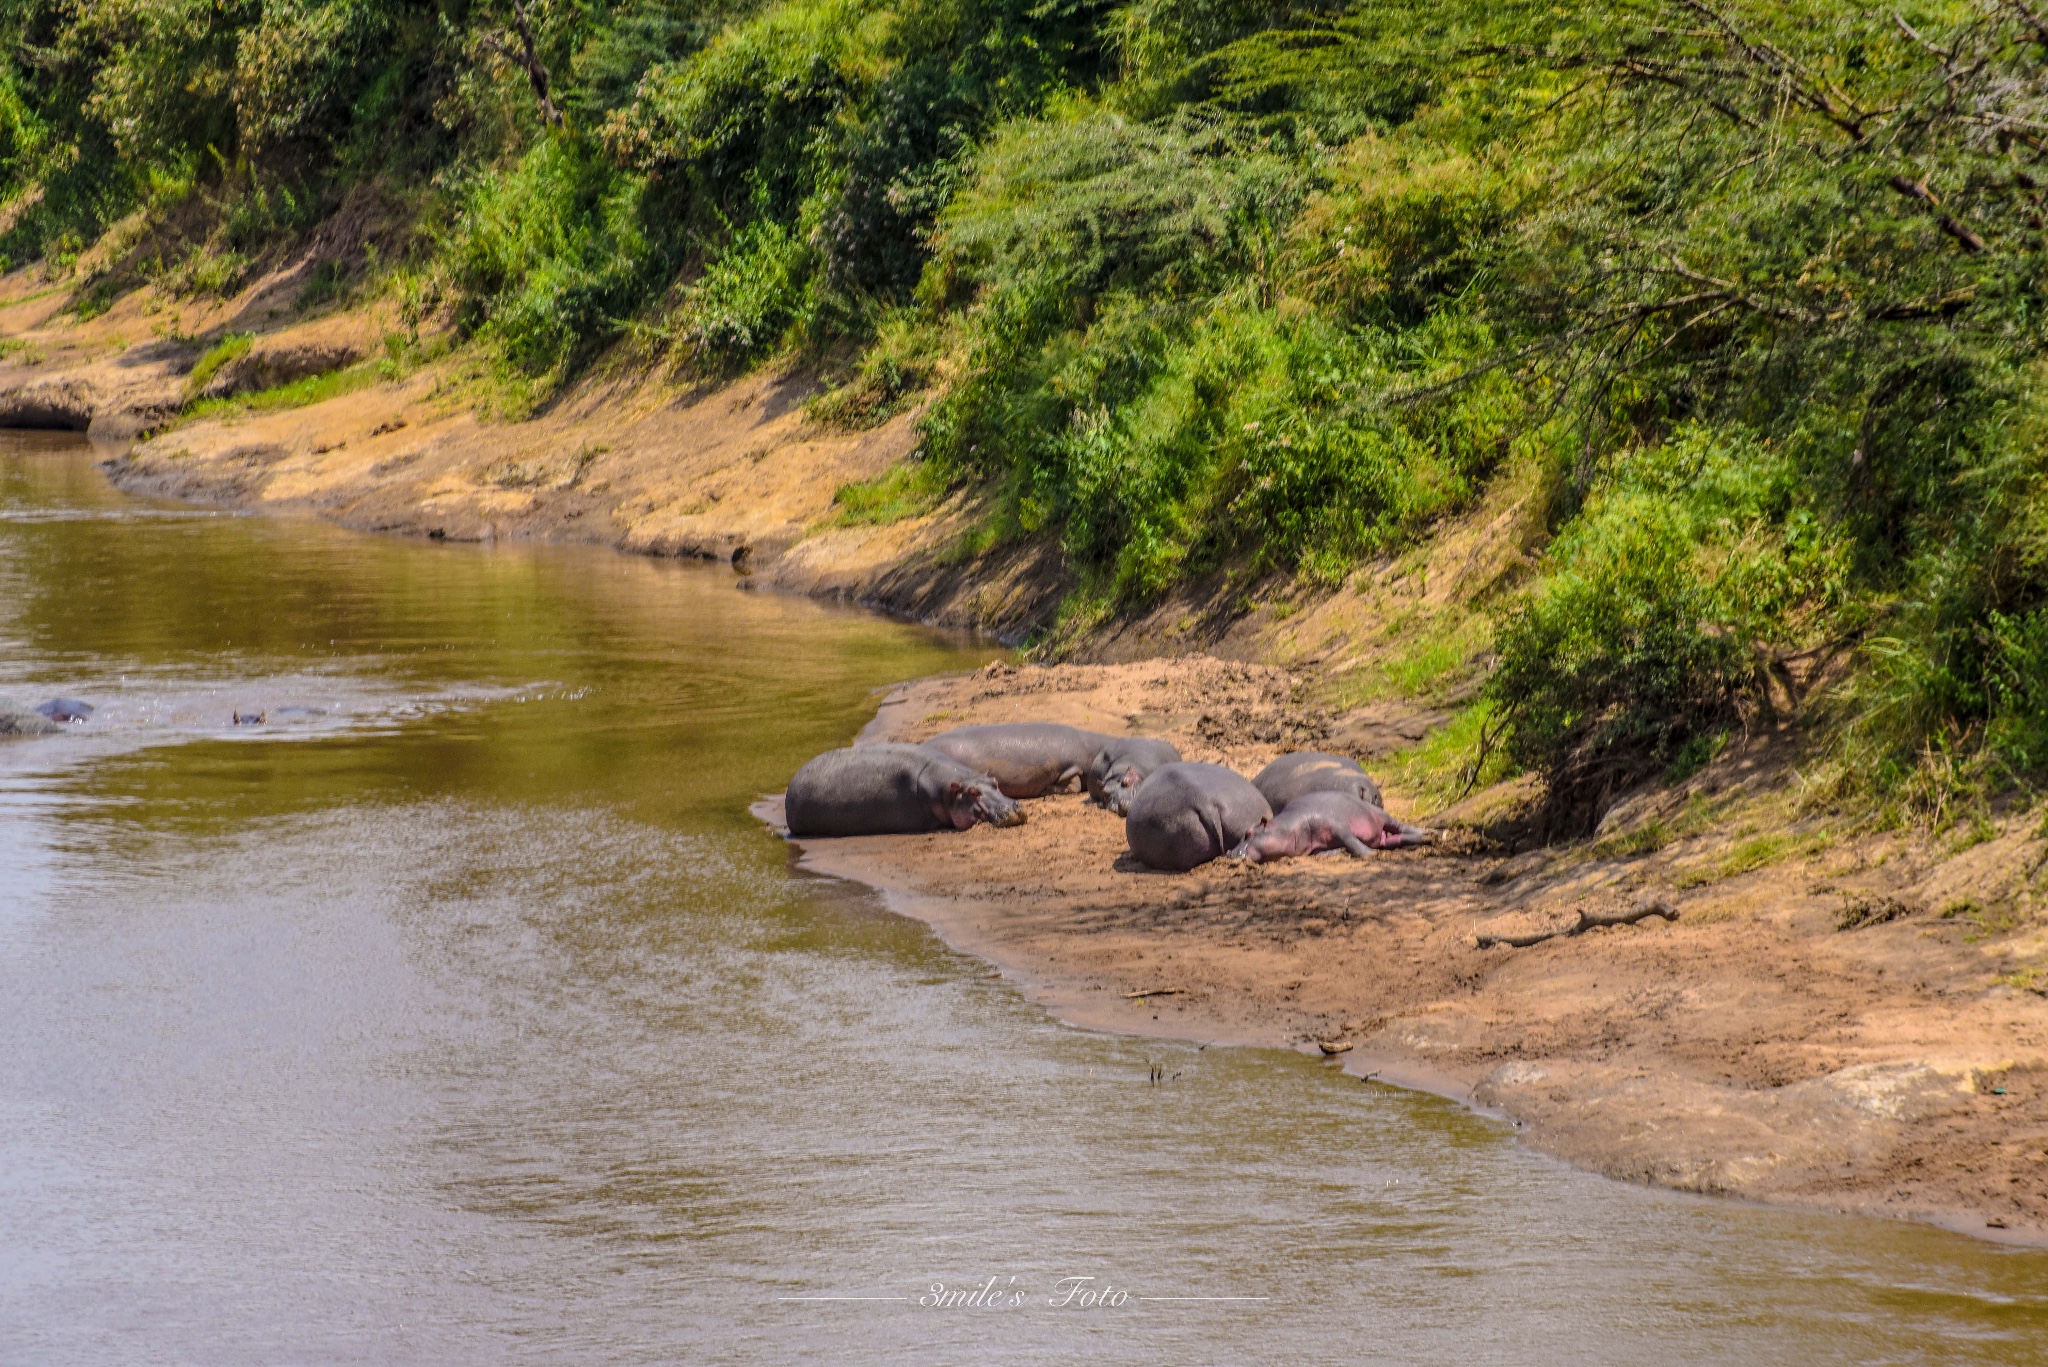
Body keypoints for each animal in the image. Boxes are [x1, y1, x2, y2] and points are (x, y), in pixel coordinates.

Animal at [1220, 786, 1433, 860]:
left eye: (1249, 833)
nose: (1230, 853)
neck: (1289, 827)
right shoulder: (1313, 847)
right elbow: (1323, 852)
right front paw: (1336, 852)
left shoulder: (1337, 826)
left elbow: (1351, 840)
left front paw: (1369, 855)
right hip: (1384, 838)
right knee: (1396, 838)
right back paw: (1427, 839)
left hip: (1382, 816)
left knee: (1400, 826)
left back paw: (1428, 833)